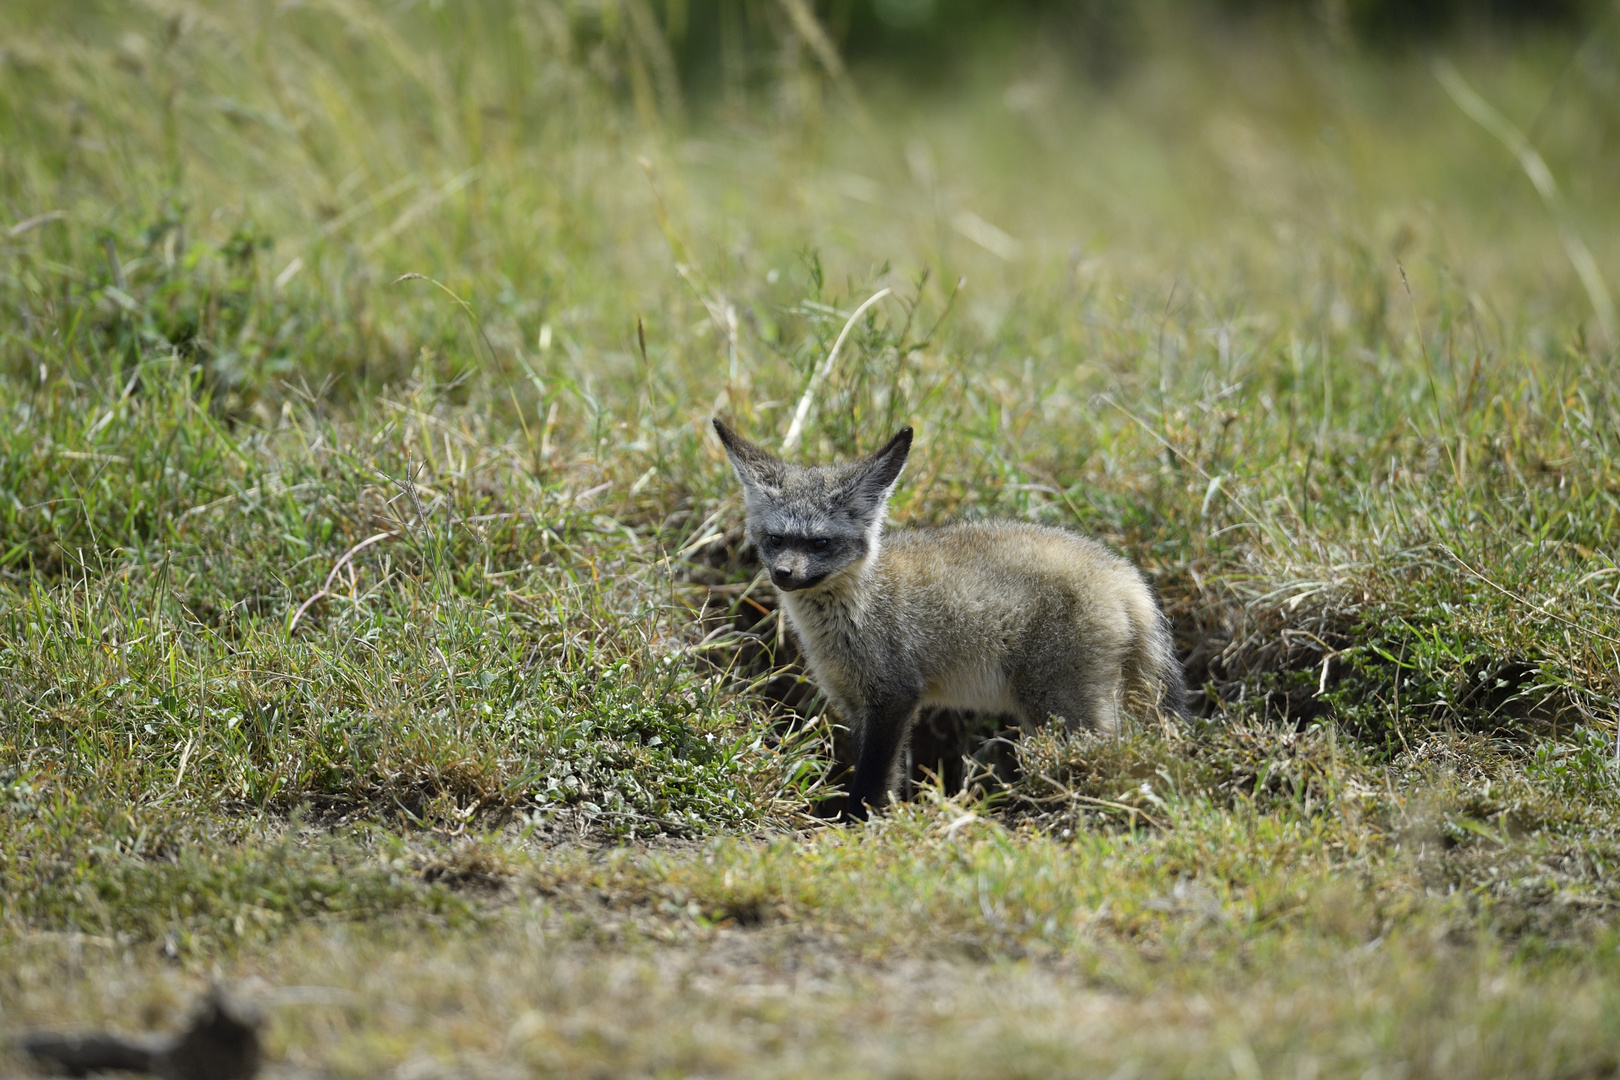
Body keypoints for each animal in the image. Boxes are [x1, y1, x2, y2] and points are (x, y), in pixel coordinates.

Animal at [716, 417, 1185, 822]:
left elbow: (870, 782)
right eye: (776, 540)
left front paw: (856, 825)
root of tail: (1124, 574)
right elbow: (886, 779)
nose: (783, 575)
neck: (858, 605)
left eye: (820, 544)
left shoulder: (895, 695)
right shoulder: (856, 701)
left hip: (1060, 709)